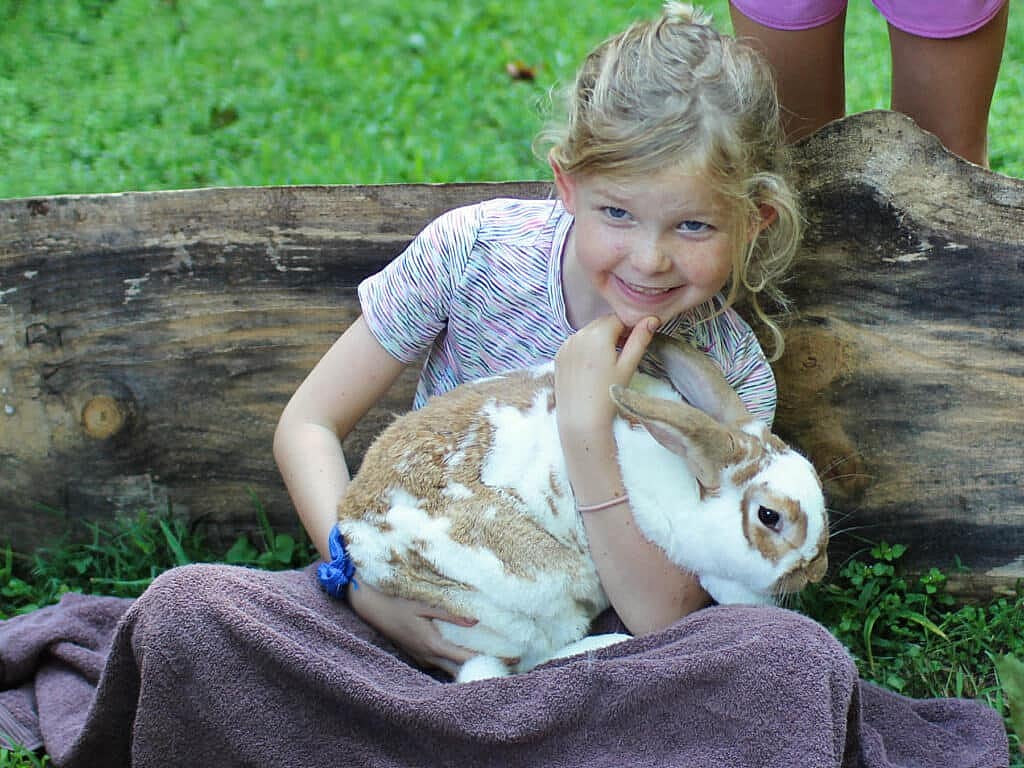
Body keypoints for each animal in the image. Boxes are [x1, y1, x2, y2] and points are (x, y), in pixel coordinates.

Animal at [333, 334, 829, 682]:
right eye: (769, 516)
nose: (817, 570)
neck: (688, 484)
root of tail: (357, 544)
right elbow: (733, 592)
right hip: (528, 592)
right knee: (517, 665)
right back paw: (606, 643)